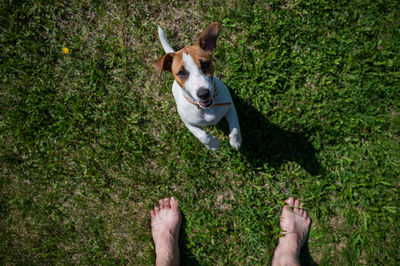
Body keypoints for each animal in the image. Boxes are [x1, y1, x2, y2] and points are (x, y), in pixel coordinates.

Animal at [152, 21, 241, 151]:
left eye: (205, 64)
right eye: (181, 72)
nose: (203, 93)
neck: (207, 109)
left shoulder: (230, 106)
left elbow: (235, 126)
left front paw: (236, 140)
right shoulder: (189, 123)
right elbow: (203, 136)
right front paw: (213, 145)